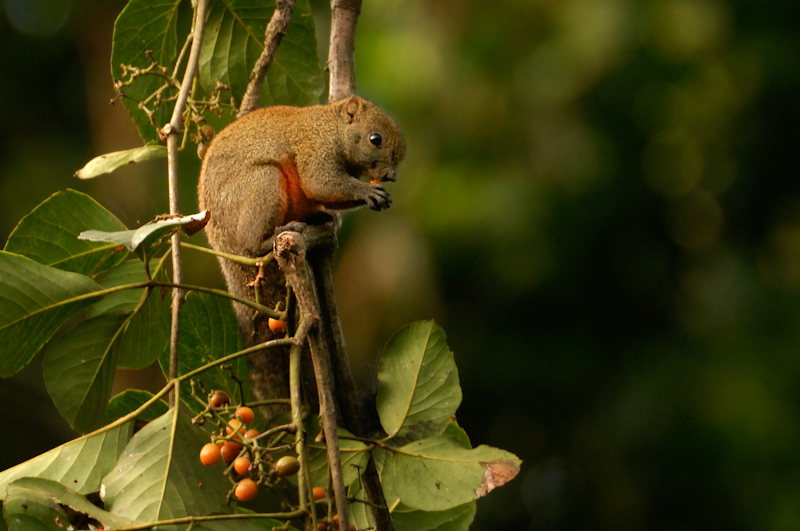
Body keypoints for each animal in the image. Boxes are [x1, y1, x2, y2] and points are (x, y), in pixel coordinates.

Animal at [195, 97, 406, 414]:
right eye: (375, 139)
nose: (390, 176)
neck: (332, 129)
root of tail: (222, 244)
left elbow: (325, 193)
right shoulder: (315, 150)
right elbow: (320, 182)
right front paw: (367, 192)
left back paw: (319, 220)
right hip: (262, 185)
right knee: (252, 242)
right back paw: (275, 235)